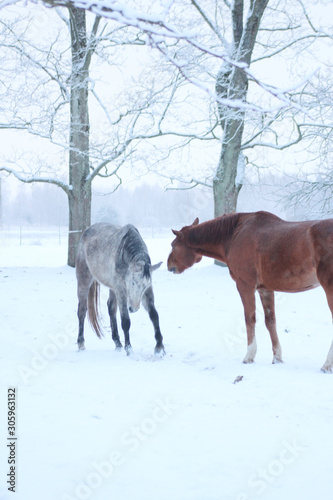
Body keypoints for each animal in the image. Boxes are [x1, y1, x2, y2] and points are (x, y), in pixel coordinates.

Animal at [74, 223, 164, 356]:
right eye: (132, 282)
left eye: (145, 285)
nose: (133, 308)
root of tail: (86, 231)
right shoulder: (121, 291)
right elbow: (126, 321)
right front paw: (129, 348)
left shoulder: (147, 291)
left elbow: (154, 315)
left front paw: (159, 348)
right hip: (84, 280)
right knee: (82, 311)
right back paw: (81, 343)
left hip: (112, 288)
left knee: (111, 308)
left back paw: (117, 343)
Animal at [166, 210, 333, 372]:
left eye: (173, 246)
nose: (169, 265)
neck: (234, 235)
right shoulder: (265, 290)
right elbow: (270, 321)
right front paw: (277, 358)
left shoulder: (245, 286)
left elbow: (249, 319)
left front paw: (249, 356)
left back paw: (327, 365)